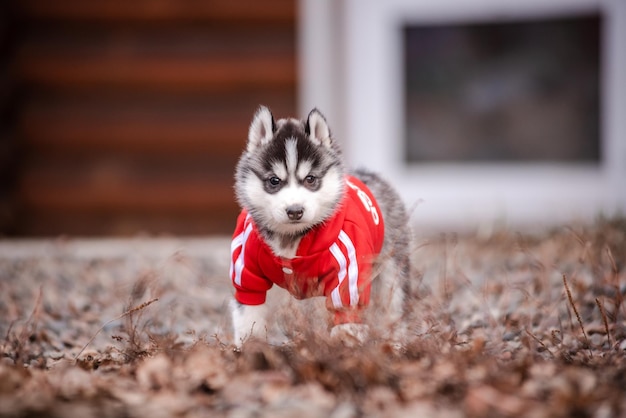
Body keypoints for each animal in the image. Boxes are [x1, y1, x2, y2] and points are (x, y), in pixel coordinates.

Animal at [229, 106, 410, 344]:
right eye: (274, 181)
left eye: (310, 179)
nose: (295, 211)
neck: (291, 240)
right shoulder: (247, 273)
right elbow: (249, 316)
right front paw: (250, 346)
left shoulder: (348, 270)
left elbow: (345, 309)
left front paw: (345, 343)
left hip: (392, 269)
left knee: (393, 305)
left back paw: (395, 339)